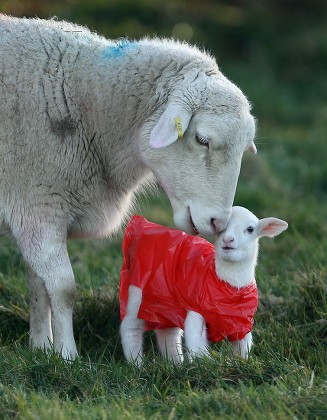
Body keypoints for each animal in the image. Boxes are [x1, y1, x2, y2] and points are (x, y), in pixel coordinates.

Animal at [0, 14, 256, 360]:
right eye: (202, 139)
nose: (218, 222)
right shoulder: (38, 203)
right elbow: (64, 288)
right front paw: (66, 356)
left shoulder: (33, 215)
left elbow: (38, 284)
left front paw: (40, 347)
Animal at [120, 208, 288, 366]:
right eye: (220, 228)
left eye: (250, 229)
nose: (228, 239)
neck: (228, 286)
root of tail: (147, 226)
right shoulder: (196, 308)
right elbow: (197, 344)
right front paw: (208, 364)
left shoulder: (242, 322)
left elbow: (242, 349)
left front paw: (237, 363)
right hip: (137, 291)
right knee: (130, 327)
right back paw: (137, 364)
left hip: (165, 301)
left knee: (168, 333)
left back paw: (175, 364)